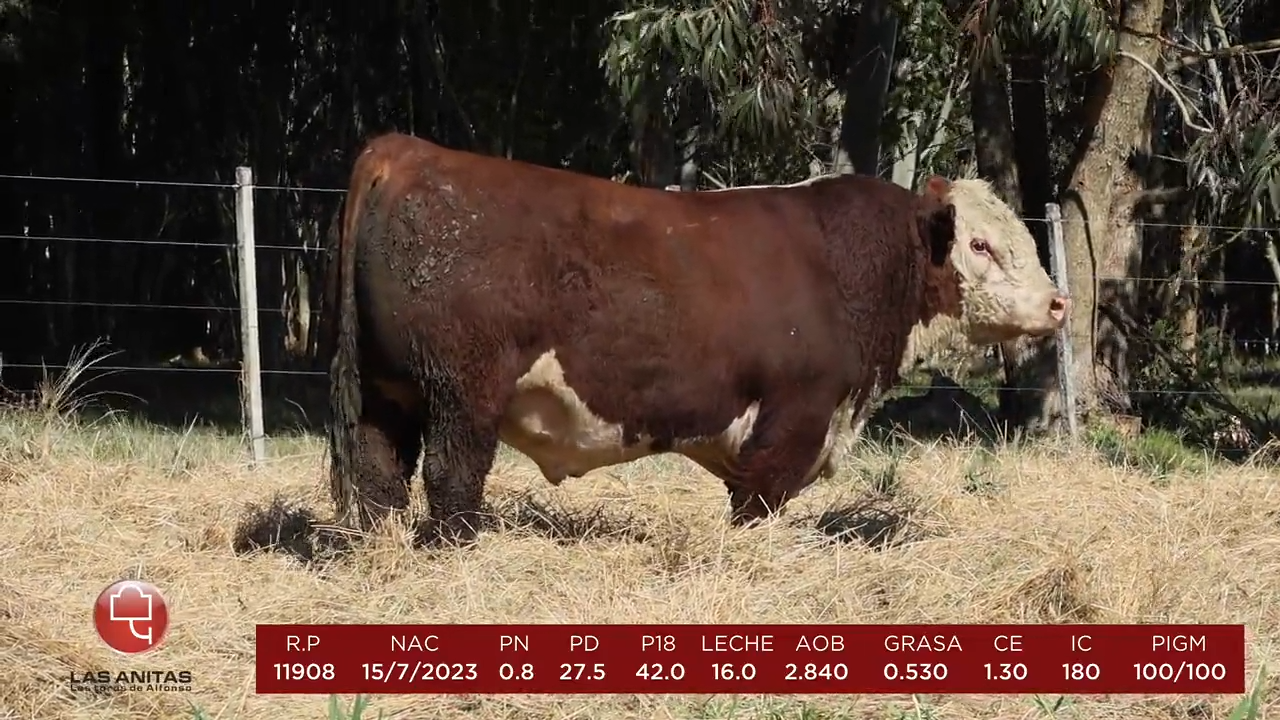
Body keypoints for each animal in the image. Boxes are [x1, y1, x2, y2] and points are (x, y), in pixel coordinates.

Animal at [320, 132, 1070, 544]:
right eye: (981, 244)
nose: (1059, 302)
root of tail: (408, 150)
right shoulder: (795, 413)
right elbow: (756, 504)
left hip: (386, 393)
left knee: (378, 477)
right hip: (461, 394)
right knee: (451, 479)